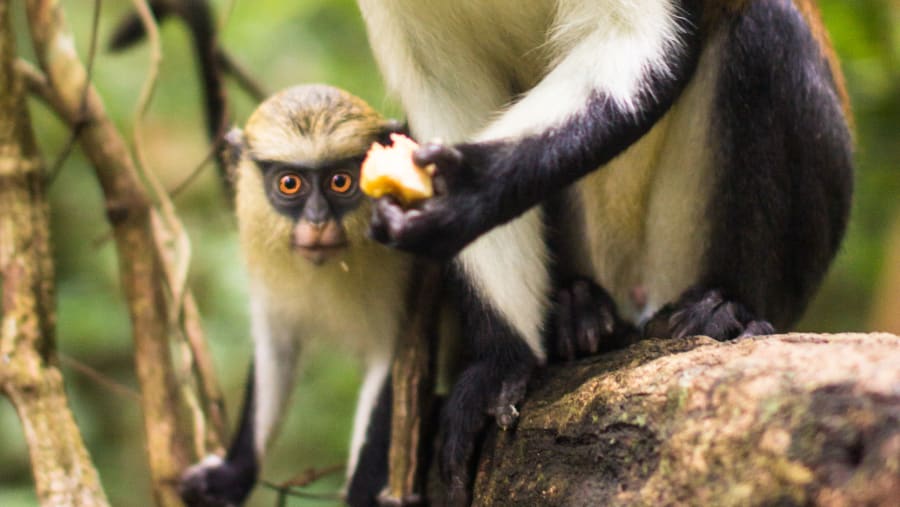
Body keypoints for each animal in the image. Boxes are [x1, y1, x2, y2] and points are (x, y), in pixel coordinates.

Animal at [178, 84, 420, 507]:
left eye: (340, 181)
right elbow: (276, 348)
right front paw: (231, 475)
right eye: (289, 184)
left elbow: (390, 366)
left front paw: (361, 494)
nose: (317, 220)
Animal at [355, 0, 854, 499]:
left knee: (766, 26)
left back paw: (728, 310)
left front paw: (470, 188)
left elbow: (635, 42)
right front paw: (498, 365)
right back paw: (577, 312)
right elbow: (449, 95)